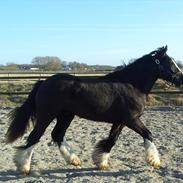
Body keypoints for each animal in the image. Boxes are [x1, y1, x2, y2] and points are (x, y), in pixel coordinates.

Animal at [5, 46, 183, 174]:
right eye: (170, 63)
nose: (181, 79)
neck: (132, 85)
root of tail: (44, 82)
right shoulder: (131, 119)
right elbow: (148, 135)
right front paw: (155, 162)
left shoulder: (120, 121)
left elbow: (111, 140)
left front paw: (101, 163)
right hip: (46, 115)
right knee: (34, 137)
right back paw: (24, 167)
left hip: (66, 116)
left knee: (57, 135)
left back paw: (74, 160)